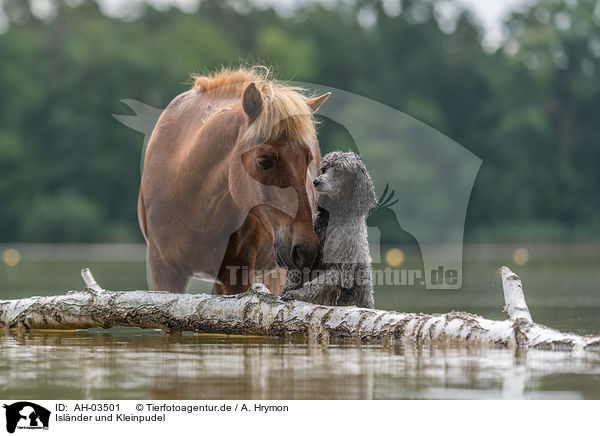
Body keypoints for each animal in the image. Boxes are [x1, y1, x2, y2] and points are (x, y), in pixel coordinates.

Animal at [280, 152, 376, 308]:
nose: (316, 181)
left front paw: (297, 294)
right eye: (324, 169)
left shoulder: (340, 266)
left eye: (339, 170)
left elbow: (316, 285)